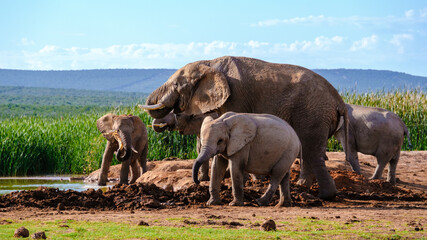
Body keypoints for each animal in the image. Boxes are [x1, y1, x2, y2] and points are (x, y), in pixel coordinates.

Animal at [140, 55, 348, 199]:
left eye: (176, 85)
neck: (209, 63)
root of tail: (339, 101)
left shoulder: (236, 96)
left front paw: (247, 180)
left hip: (314, 113)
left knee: (311, 150)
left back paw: (324, 195)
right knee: (308, 150)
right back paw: (304, 187)